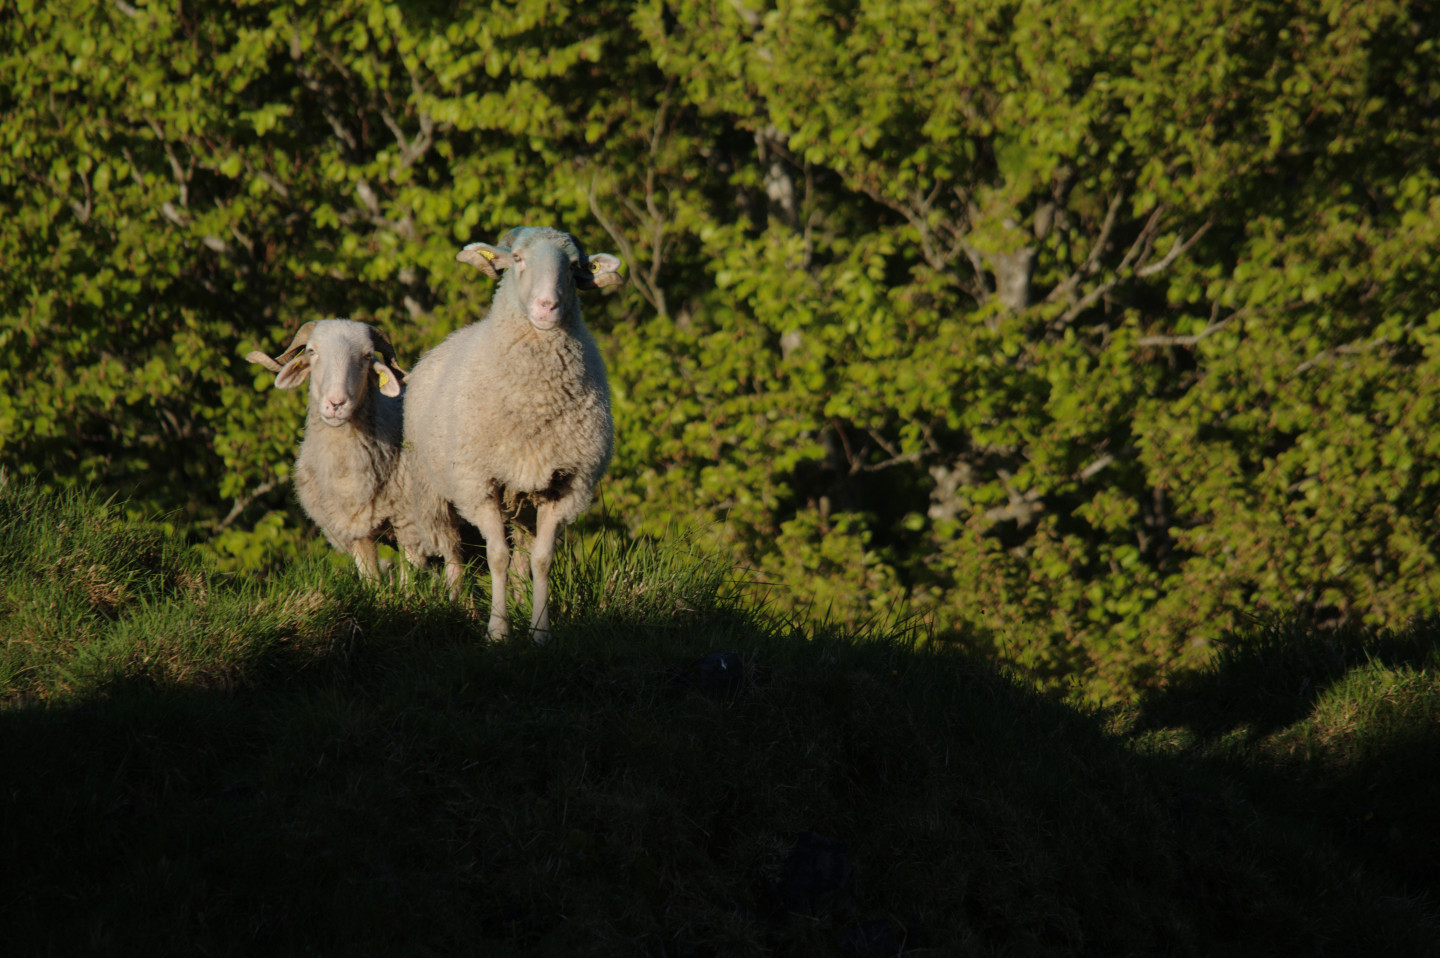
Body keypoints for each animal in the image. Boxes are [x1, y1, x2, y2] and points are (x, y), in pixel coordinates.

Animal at [246, 316, 460, 579]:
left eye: (367, 355)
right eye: (312, 351)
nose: (336, 403)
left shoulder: (410, 522)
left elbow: (409, 577)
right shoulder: (356, 527)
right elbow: (370, 578)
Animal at [406, 226, 624, 642]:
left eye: (573, 266)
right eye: (518, 259)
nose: (547, 307)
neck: (534, 403)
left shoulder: (565, 486)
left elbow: (542, 559)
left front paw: (539, 631)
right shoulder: (479, 484)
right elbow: (496, 557)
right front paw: (497, 631)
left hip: (524, 500)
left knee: (523, 554)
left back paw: (521, 601)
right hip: (434, 493)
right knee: (453, 553)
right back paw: (458, 608)